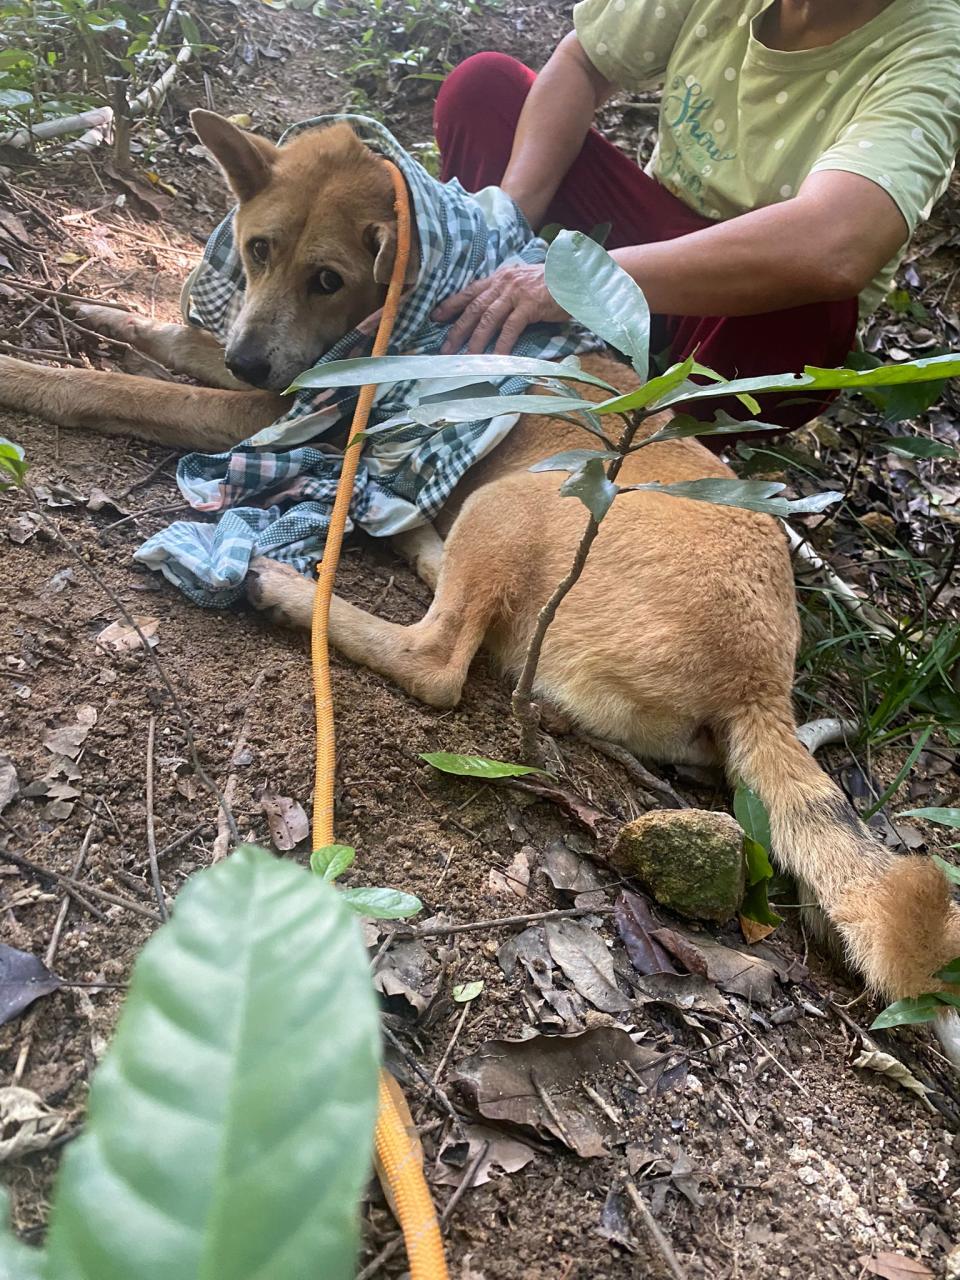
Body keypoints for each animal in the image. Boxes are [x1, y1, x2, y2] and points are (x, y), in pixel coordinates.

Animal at [1, 110, 960, 1054]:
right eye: (258, 249)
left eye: (329, 278)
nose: (249, 359)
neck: (395, 315)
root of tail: (761, 680)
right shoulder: (278, 381)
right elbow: (174, 341)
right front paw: (104, 310)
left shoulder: (274, 413)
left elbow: (115, 391)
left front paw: (27, 375)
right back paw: (412, 535)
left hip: (519, 499)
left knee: (439, 660)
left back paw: (284, 586)